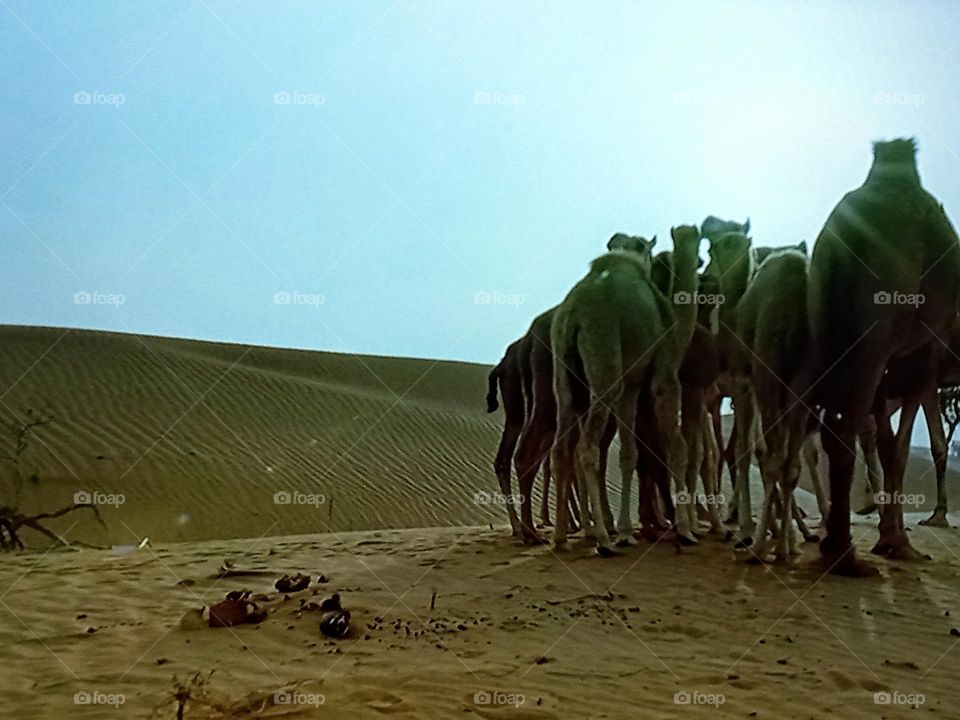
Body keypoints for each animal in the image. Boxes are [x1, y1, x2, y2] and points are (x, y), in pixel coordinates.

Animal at [550, 226, 701, 555]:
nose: (700, 260)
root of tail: (574, 311)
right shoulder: (663, 375)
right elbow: (678, 447)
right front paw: (684, 530)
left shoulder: (632, 387)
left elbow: (629, 454)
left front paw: (626, 531)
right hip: (604, 352)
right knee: (587, 448)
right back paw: (603, 540)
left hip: (564, 377)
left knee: (561, 447)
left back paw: (560, 537)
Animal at [793, 138, 960, 576]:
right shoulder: (923, 354)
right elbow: (903, 448)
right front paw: (899, 541)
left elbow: (887, 443)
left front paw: (891, 535)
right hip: (873, 334)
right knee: (843, 430)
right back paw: (843, 555)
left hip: (827, 329)